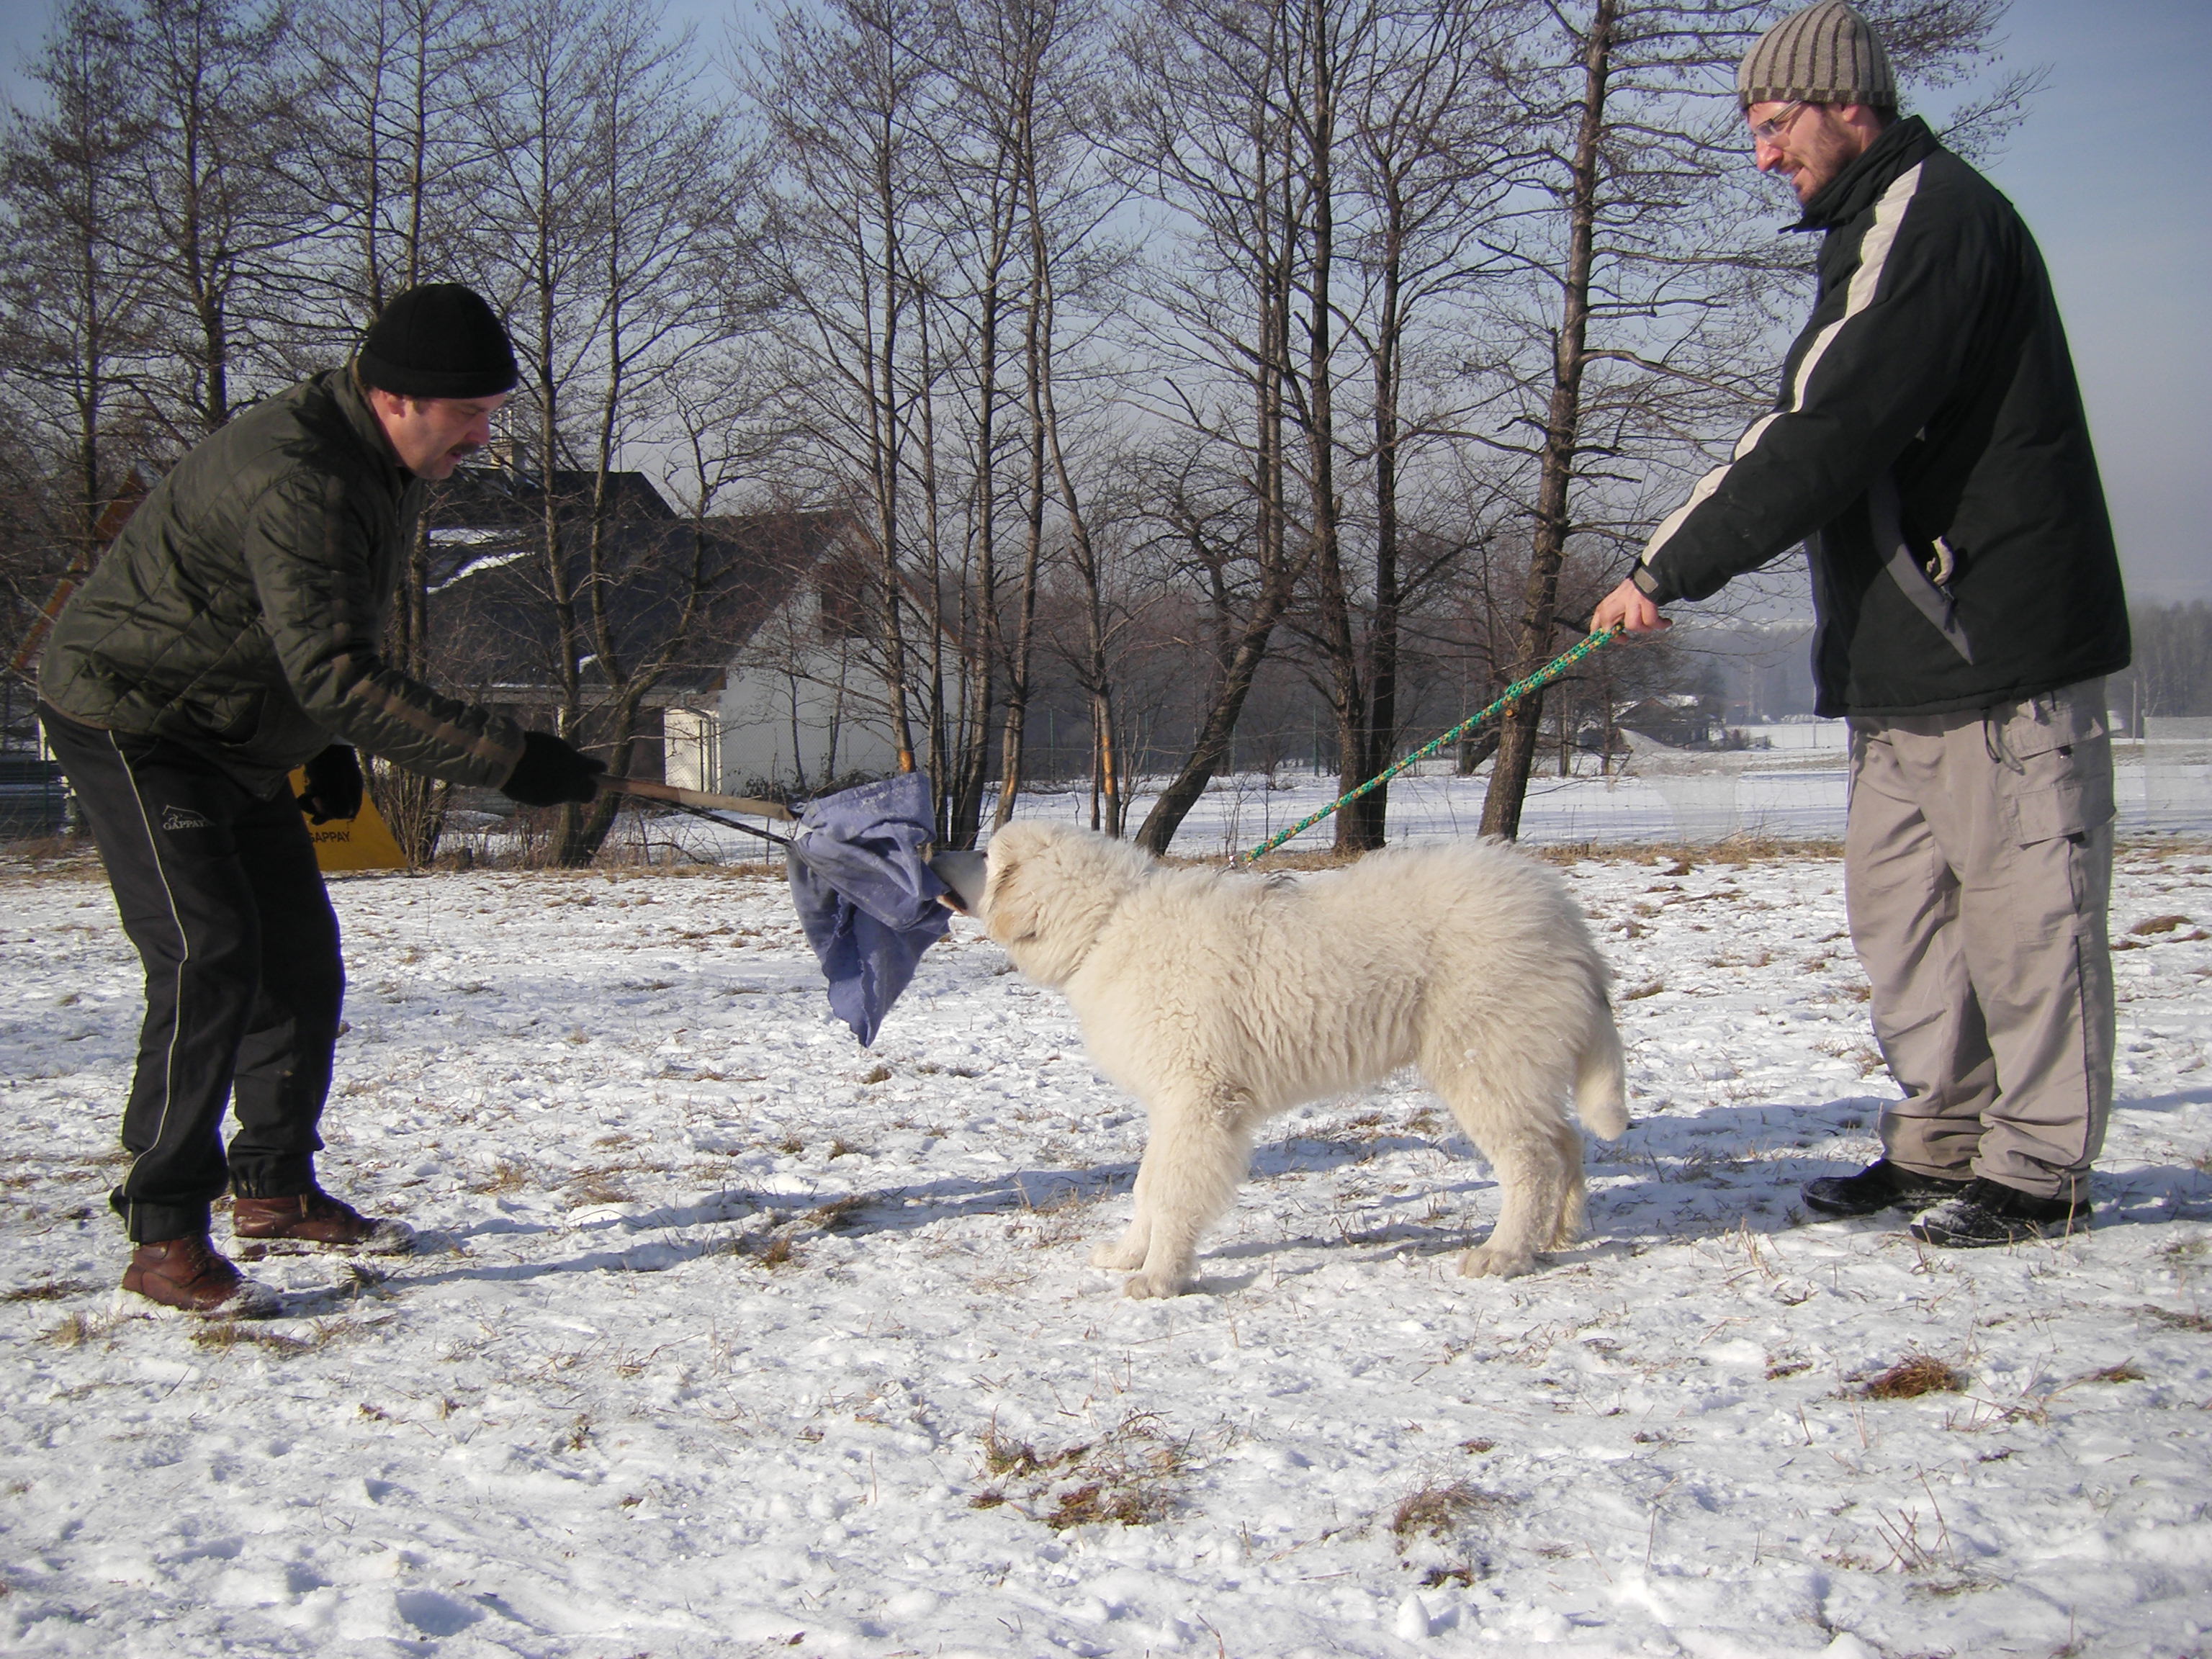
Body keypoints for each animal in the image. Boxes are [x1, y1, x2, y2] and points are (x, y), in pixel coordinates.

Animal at [964, 827, 1627, 1309]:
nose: (947, 856)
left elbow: (1170, 1194)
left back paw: (1505, 1253)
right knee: (1564, 1144)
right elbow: (1148, 1188)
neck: (1107, 923)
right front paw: (1131, 1254)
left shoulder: (1198, 1101)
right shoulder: (1172, 1106)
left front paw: (1160, 1279)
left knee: (1531, 1161)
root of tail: (1561, 912)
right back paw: (1558, 1234)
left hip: (1485, 1062)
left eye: (987, 857)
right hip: (1518, 1065)